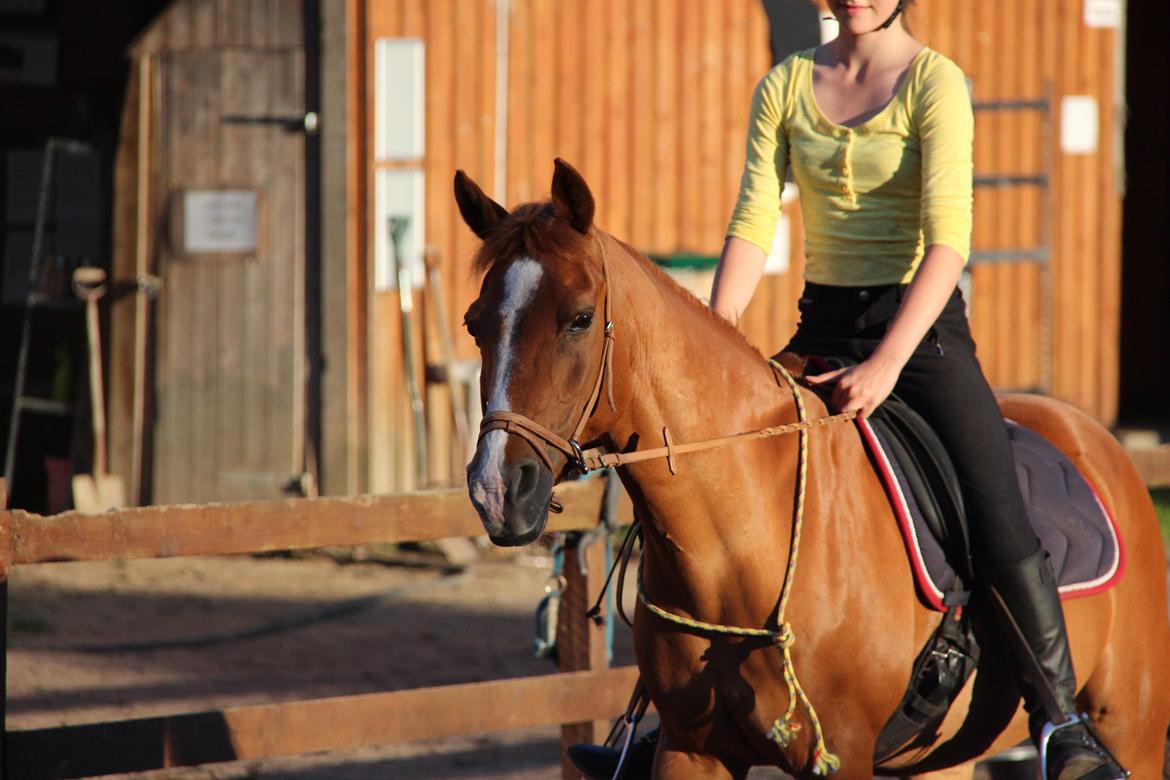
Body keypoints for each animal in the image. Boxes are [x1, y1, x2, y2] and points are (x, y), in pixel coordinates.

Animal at [453, 160, 1170, 780]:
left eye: (579, 320)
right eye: (474, 324)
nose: (497, 490)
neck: (738, 547)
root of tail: (1093, 437)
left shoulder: (843, 757)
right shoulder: (692, 752)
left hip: (1133, 729)